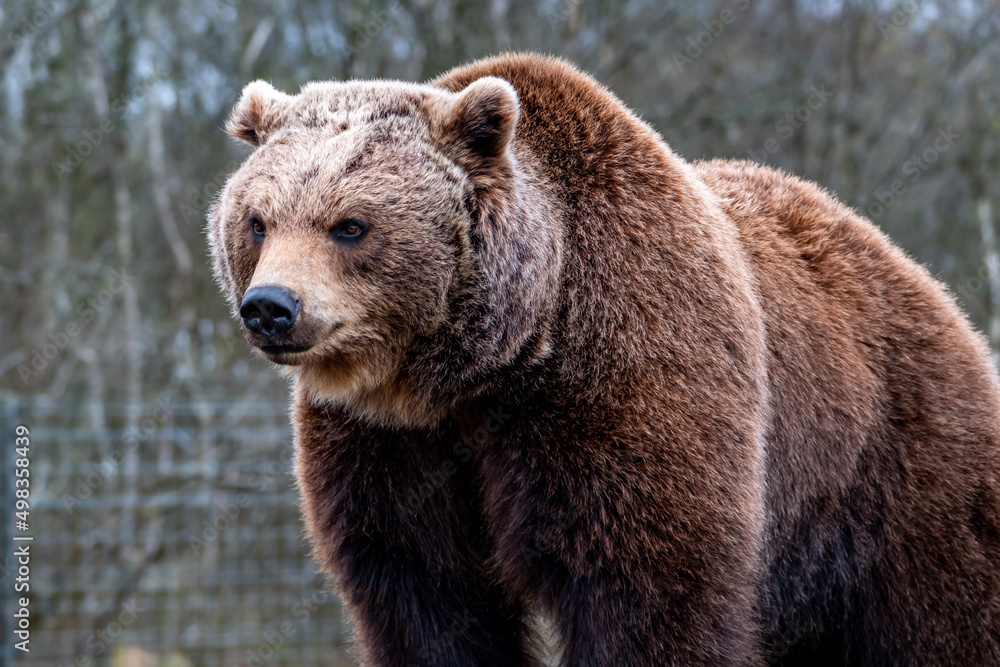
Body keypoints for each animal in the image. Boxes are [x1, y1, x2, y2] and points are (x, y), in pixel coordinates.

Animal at [208, 53, 1000, 666]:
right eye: (258, 220)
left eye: (351, 224)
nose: (272, 306)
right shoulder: (390, 447)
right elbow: (426, 594)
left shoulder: (624, 384)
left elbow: (648, 586)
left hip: (894, 469)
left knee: (941, 616)